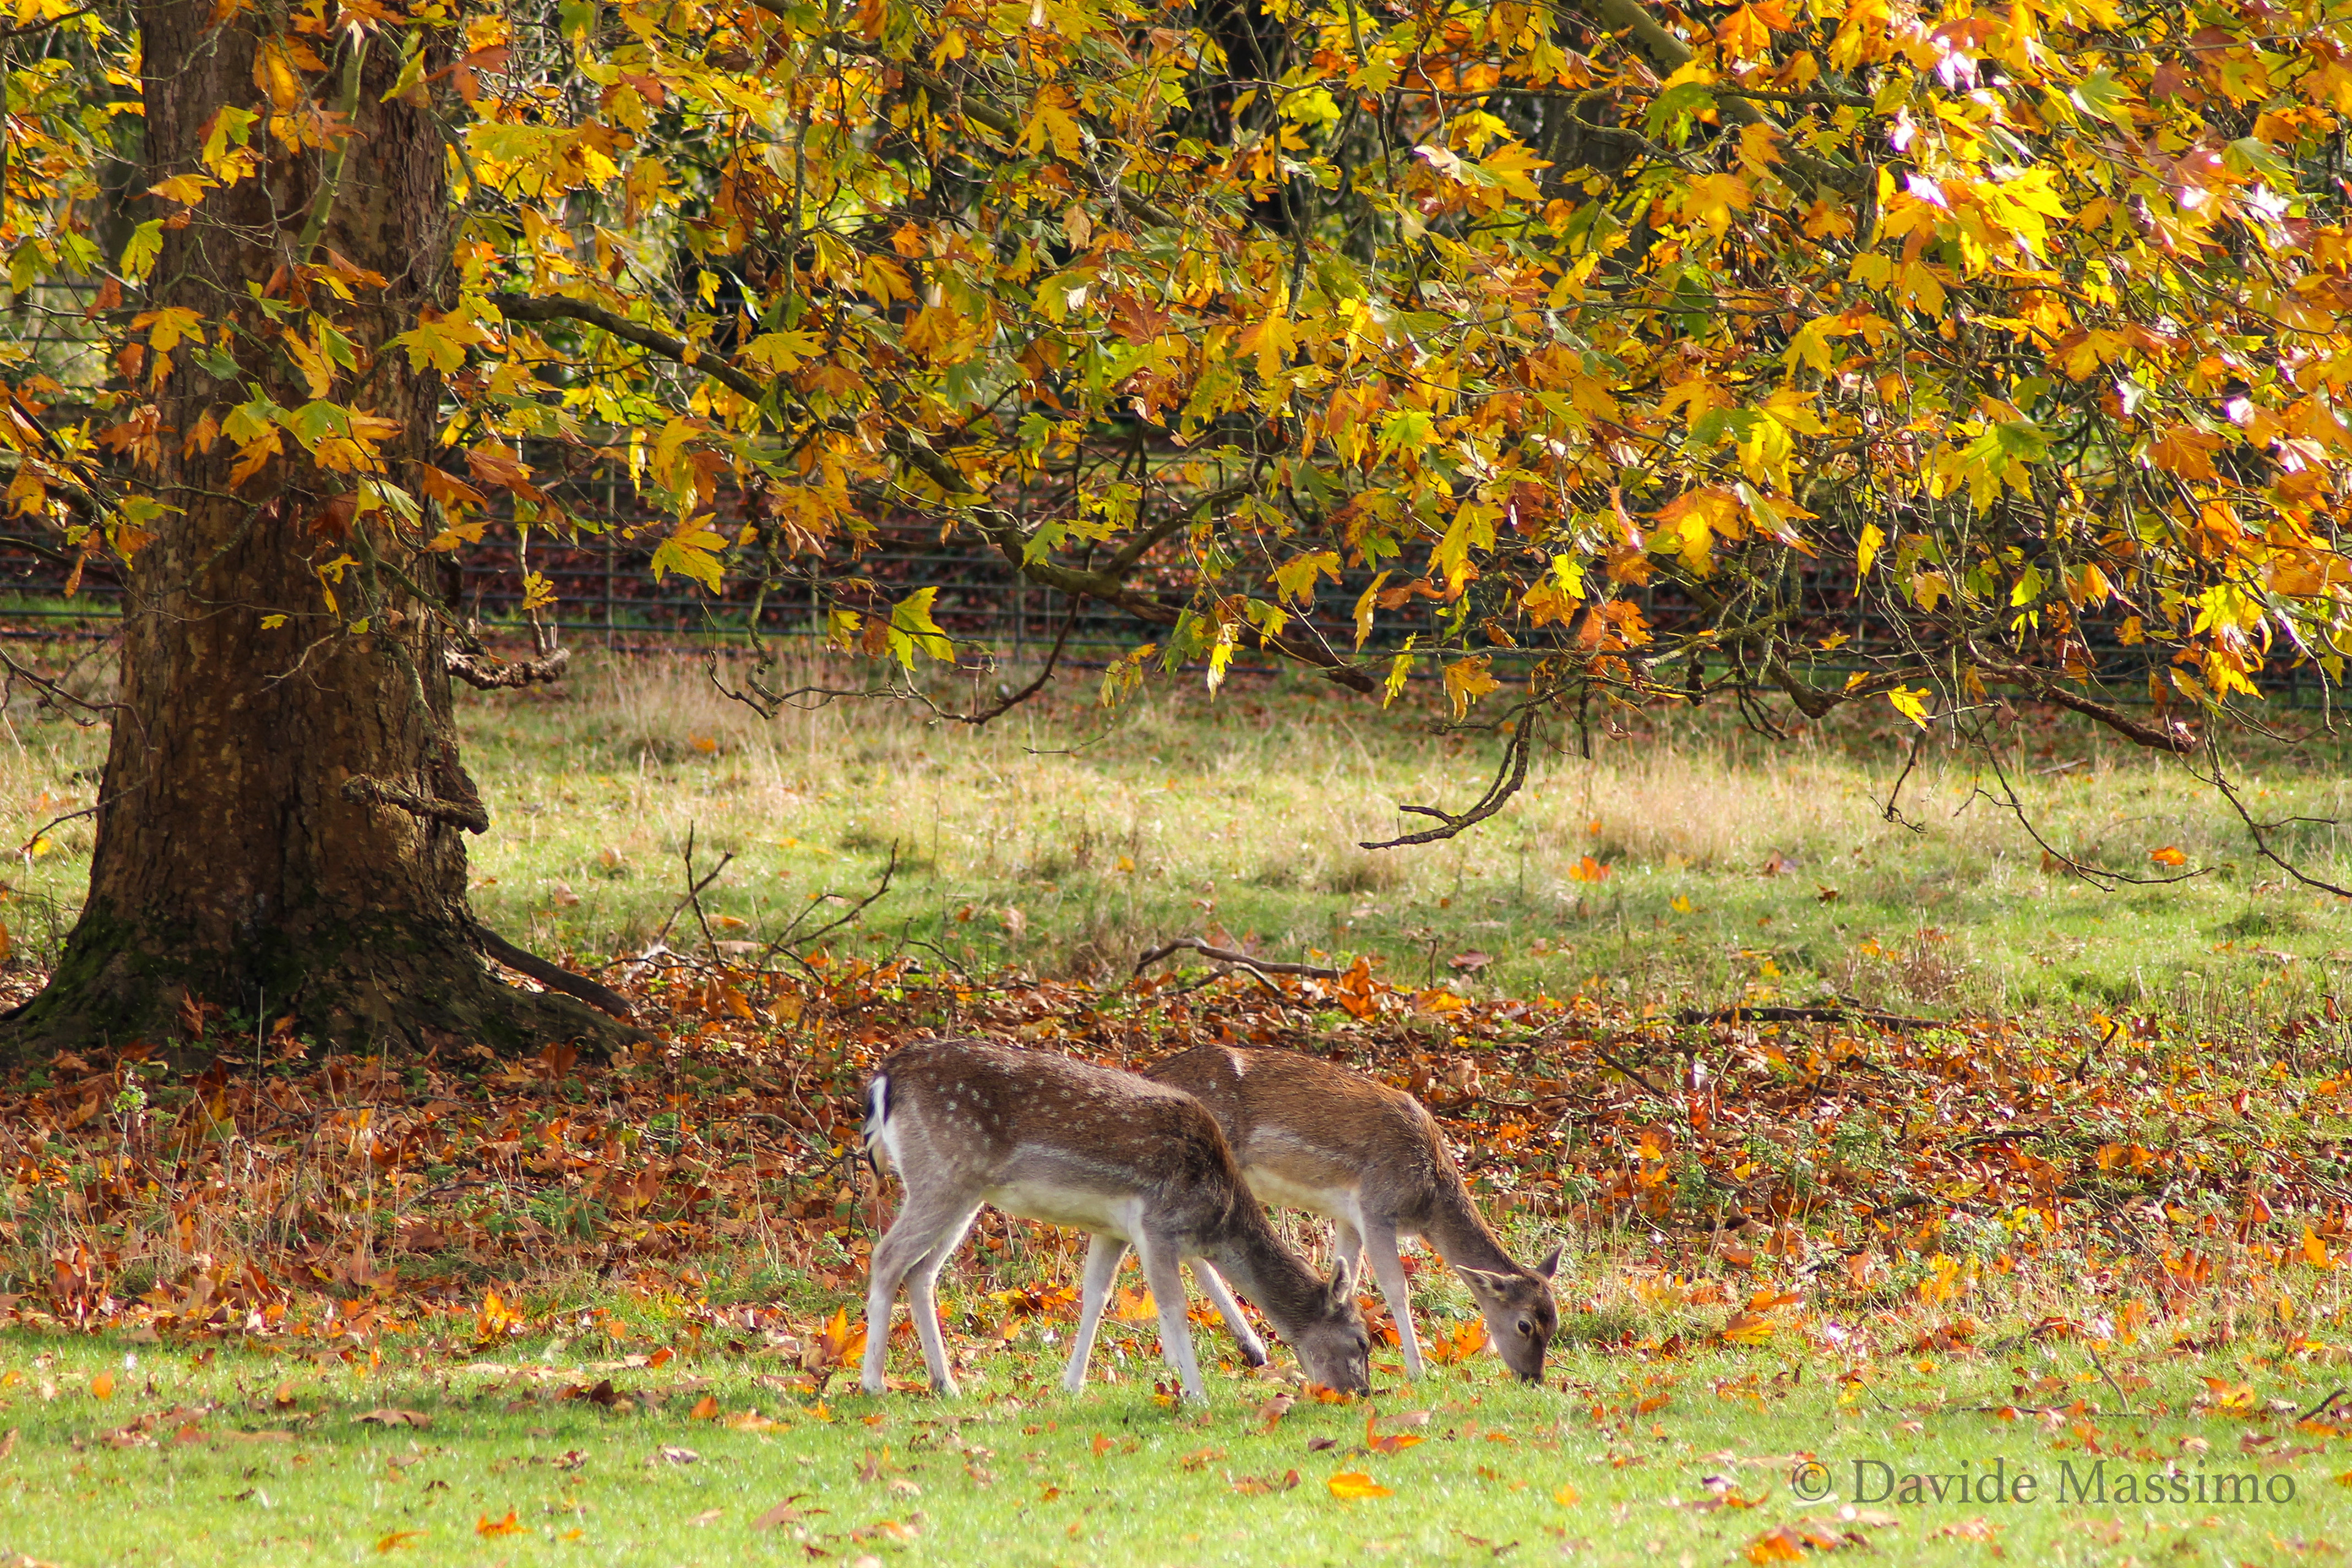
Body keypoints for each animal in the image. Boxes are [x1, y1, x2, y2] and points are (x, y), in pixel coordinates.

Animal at [858, 1038, 1372, 1403]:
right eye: (1362, 1341)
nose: (1362, 1393)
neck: (1218, 1214)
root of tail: (885, 1079)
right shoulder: (1157, 1225)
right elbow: (1173, 1308)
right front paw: (1197, 1395)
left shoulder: (1112, 1229)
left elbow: (1096, 1298)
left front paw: (1072, 1385)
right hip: (943, 1175)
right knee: (887, 1258)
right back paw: (873, 1384)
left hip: (962, 1190)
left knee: (921, 1271)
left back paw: (946, 1384)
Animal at [1146, 1043, 1560, 1382]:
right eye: (1525, 1325)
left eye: (1554, 1323)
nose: (1533, 1377)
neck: (1428, 1200)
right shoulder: (1376, 1206)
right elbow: (1396, 1287)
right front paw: (1418, 1371)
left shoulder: (1348, 1216)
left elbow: (1349, 1274)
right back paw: (1227, 1351)